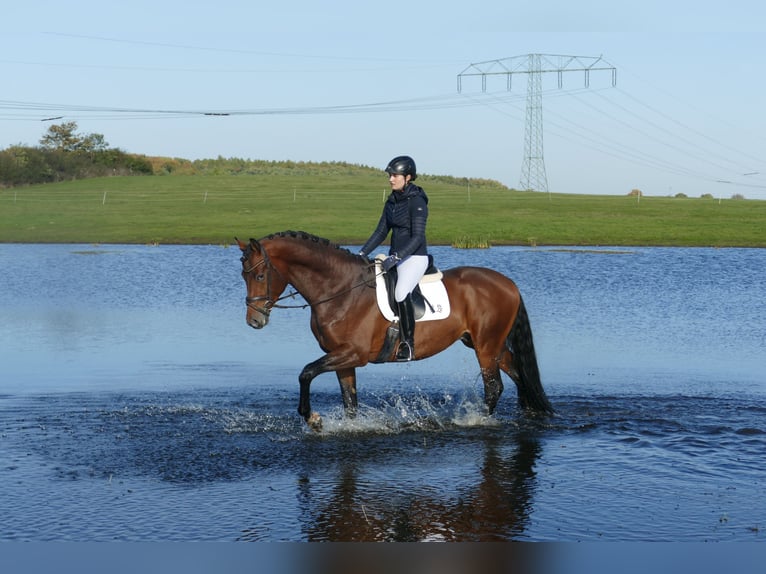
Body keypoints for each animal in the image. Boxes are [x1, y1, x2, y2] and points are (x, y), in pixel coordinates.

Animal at [237, 232, 556, 430]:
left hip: (485, 347)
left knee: (494, 387)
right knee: (519, 375)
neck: (340, 290)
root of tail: (508, 283)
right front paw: (348, 427)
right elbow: (350, 402)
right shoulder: (342, 358)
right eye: (243, 275)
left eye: (260, 276)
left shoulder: (353, 353)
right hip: (488, 344)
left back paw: (476, 421)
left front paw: (312, 418)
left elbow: (305, 373)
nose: (254, 321)